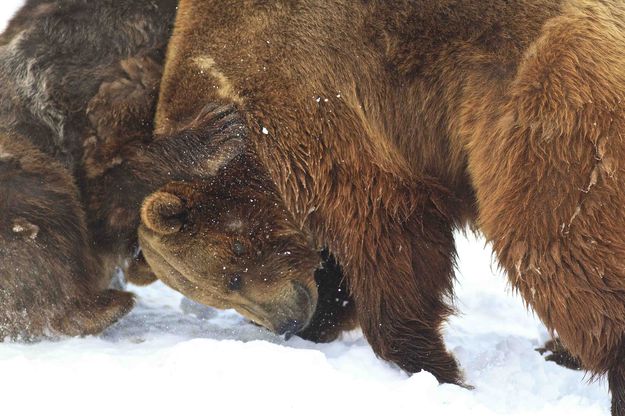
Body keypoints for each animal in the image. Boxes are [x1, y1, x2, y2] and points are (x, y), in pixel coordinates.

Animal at [140, 0, 624, 412]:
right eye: (222, 292)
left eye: (235, 272)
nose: (288, 323)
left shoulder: (317, 104)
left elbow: (389, 238)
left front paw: (437, 367)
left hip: (551, 104)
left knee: (551, 242)